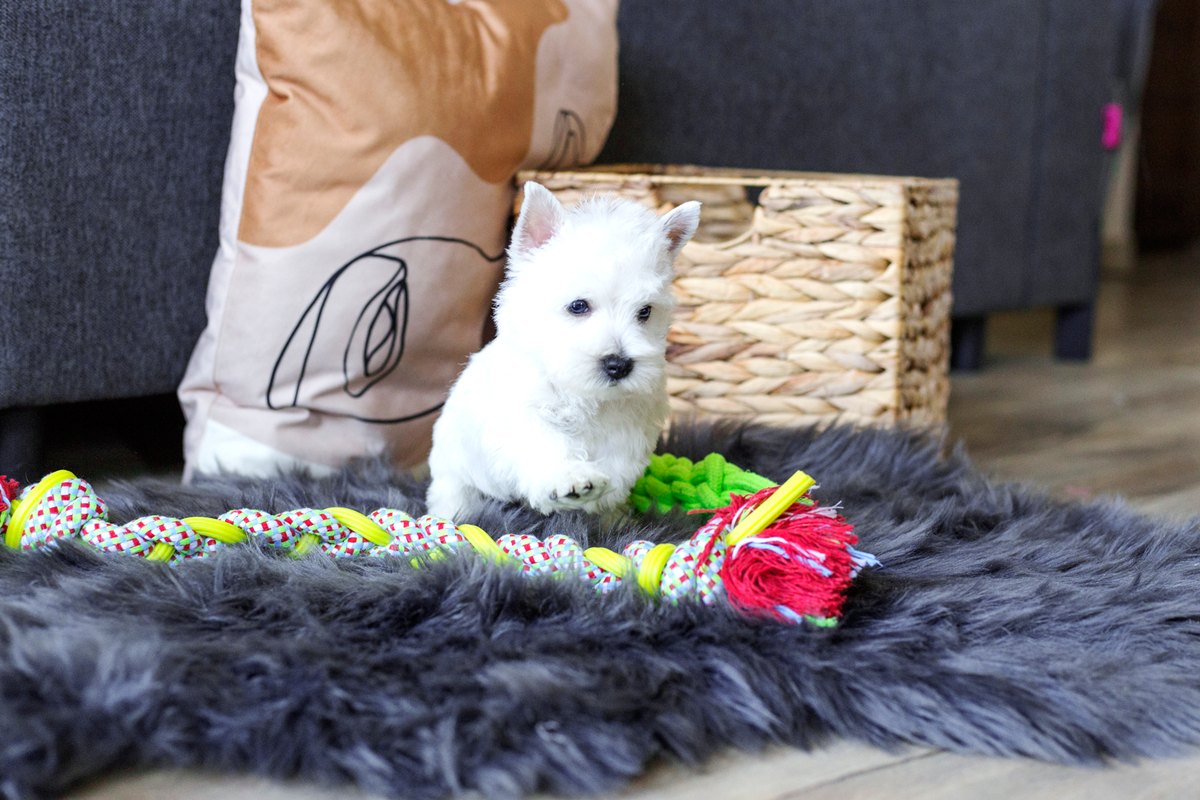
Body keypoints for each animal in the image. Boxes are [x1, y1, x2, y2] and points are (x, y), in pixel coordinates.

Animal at [426, 181, 700, 519]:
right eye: (578, 306)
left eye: (645, 311)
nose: (619, 365)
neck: (585, 393)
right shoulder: (523, 411)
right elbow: (546, 442)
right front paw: (571, 479)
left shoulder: (630, 422)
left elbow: (618, 462)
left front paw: (604, 505)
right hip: (454, 475)